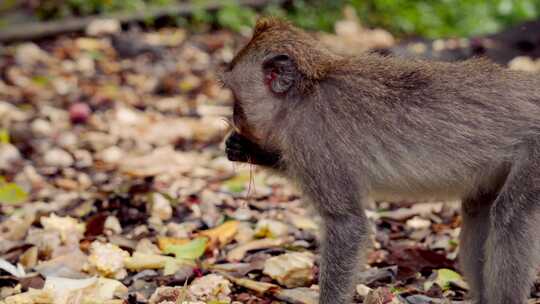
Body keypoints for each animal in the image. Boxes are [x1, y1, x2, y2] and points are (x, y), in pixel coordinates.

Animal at [221, 17, 540, 304]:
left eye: (236, 98)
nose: (235, 117)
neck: (305, 92)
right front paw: (249, 150)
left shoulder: (312, 139)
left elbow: (346, 225)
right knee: (478, 210)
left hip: (535, 152)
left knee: (511, 216)